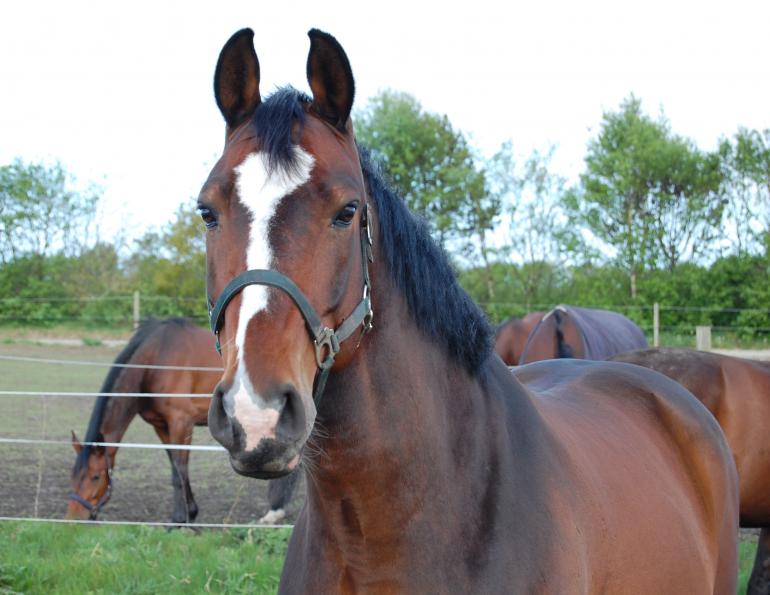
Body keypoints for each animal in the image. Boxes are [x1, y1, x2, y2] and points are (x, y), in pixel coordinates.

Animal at [66, 318, 298, 524]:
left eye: (95, 477)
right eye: (73, 475)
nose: (74, 518)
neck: (156, 360)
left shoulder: (181, 422)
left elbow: (180, 469)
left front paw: (179, 519)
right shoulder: (161, 426)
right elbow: (176, 468)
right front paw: (190, 514)